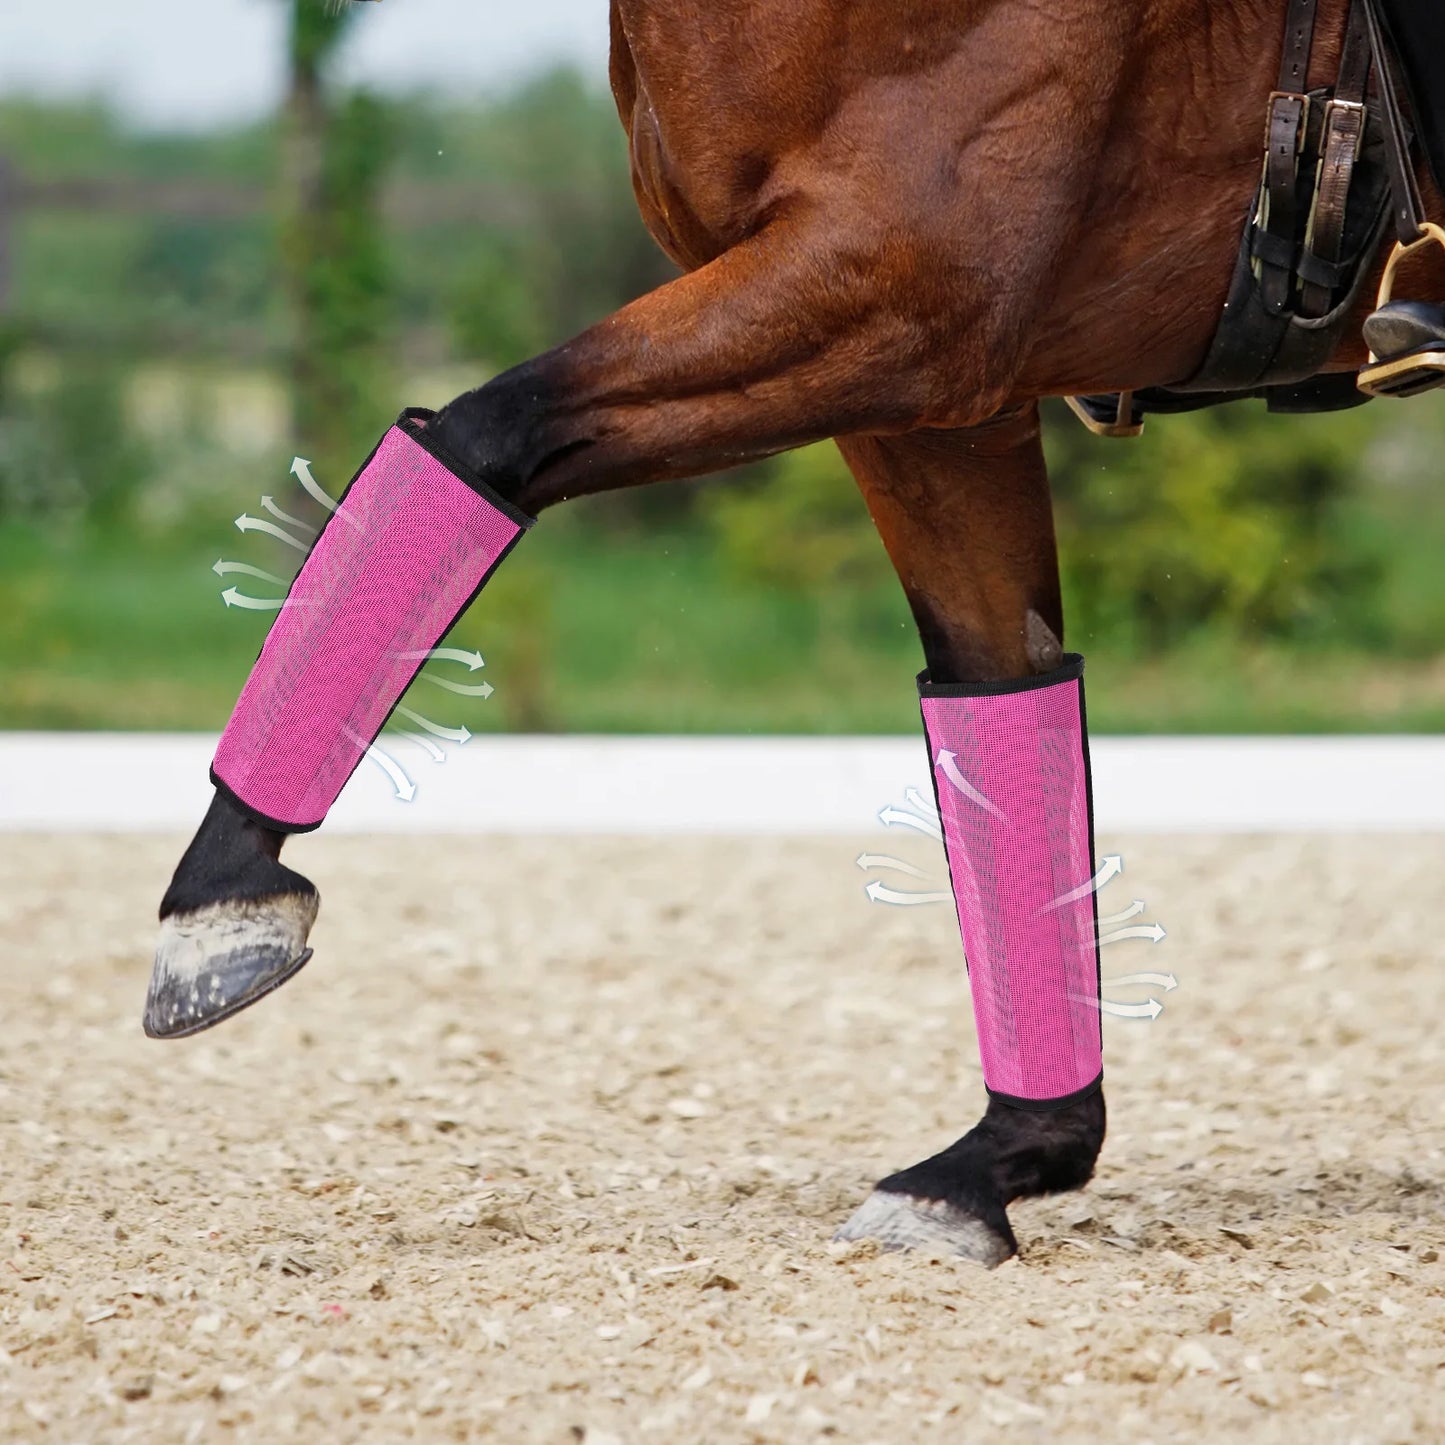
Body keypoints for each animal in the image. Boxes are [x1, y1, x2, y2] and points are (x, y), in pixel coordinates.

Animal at [148, 0, 1445, 1267]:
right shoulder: (929, 391)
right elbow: (996, 697)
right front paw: (1001, 1161)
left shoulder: (893, 296)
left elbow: (484, 434)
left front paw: (218, 894)